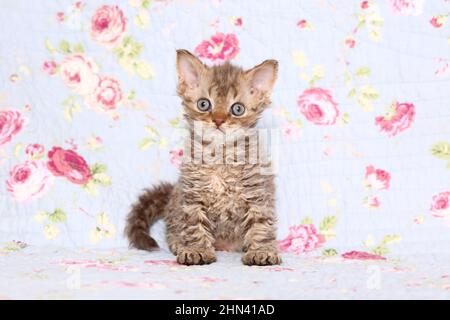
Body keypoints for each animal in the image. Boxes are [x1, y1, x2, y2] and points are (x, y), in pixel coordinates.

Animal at [125, 49, 282, 264]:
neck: (220, 155)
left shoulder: (257, 192)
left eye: (237, 109)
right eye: (204, 104)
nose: (218, 120)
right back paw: (179, 243)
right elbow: (193, 223)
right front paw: (196, 250)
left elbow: (261, 223)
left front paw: (261, 250)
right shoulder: (193, 193)